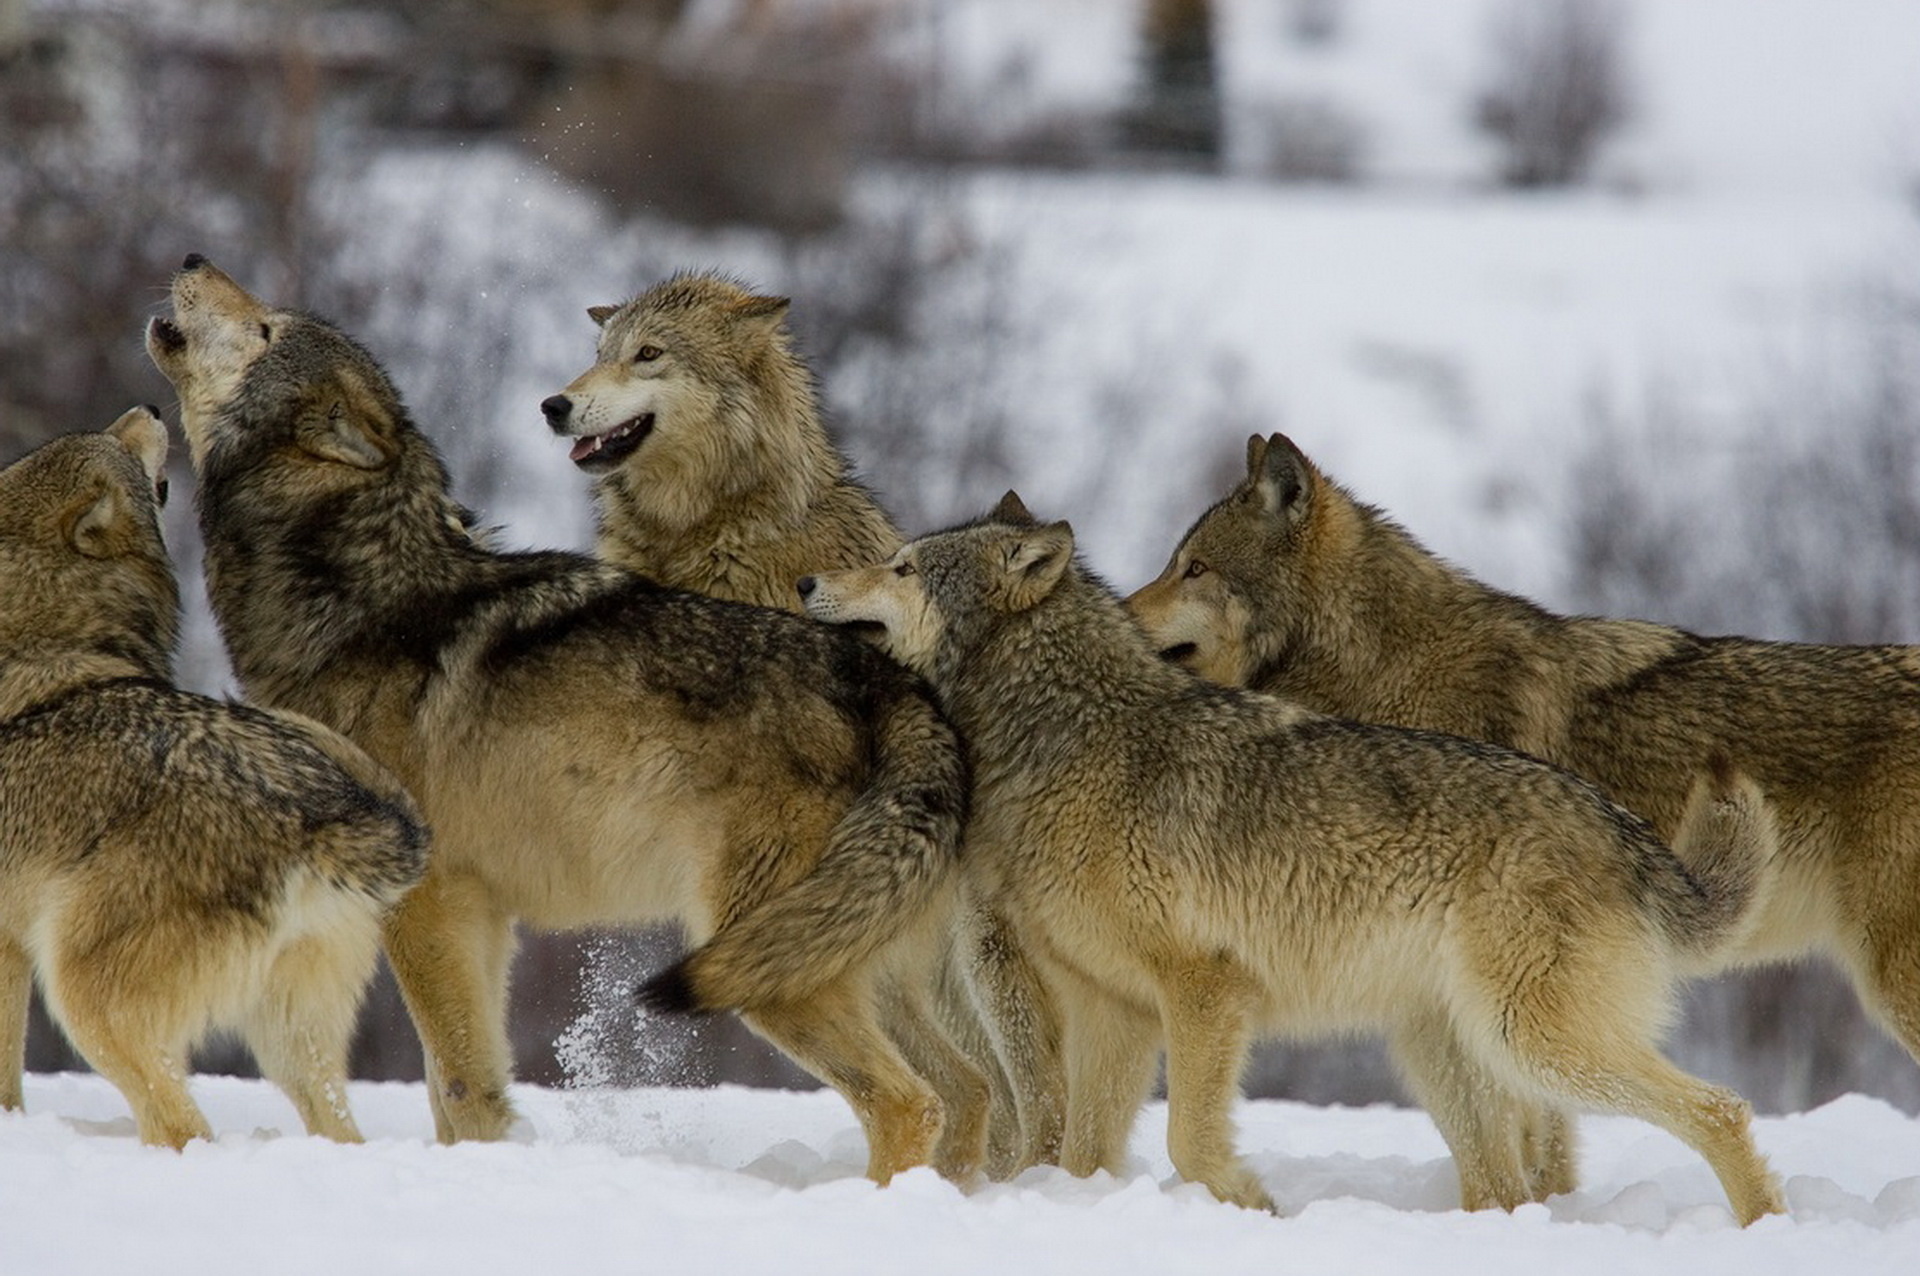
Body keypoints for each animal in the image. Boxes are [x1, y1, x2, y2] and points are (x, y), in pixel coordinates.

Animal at [0, 404, 428, 1143]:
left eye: (114, 440)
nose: (149, 408)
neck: (48, 632)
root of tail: (320, 814)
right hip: (292, 1043)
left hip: (86, 999)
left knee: (181, 1126)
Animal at [794, 498, 1781, 1228]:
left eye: (902, 567)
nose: (805, 579)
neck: (1068, 739)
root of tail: (1620, 825)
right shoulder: (1111, 1007)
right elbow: (1082, 1156)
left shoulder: (1205, 989)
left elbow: (1191, 1143)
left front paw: (1253, 1208)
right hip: (1450, 1055)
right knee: (1507, 1187)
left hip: (1534, 1044)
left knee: (1722, 1107)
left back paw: (1763, 1229)